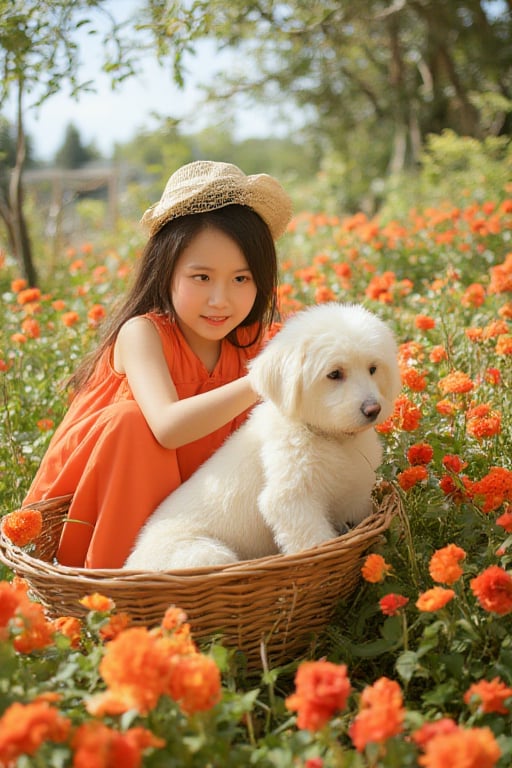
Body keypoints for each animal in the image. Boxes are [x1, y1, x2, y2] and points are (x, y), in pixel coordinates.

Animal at [124, 302, 400, 568]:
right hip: (208, 554)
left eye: (373, 369)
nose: (373, 409)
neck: (332, 439)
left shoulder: (357, 495)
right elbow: (314, 541)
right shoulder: (291, 499)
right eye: (334, 374)